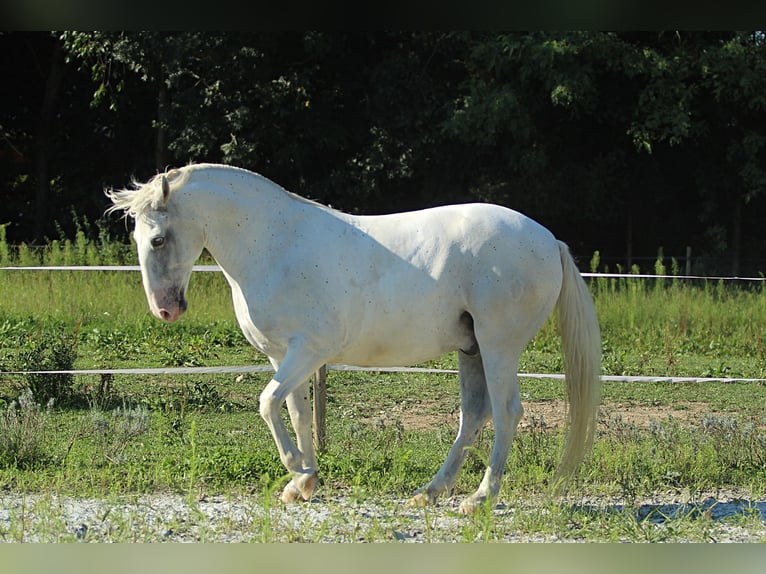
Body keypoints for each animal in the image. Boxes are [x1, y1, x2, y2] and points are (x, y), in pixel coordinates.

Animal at [106, 163, 600, 516]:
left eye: (157, 239)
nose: (166, 309)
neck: (275, 246)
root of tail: (548, 239)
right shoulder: (285, 357)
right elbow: (295, 413)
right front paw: (303, 484)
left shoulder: (308, 351)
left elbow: (266, 404)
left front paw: (298, 470)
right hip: (472, 348)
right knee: (474, 416)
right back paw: (429, 493)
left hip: (499, 346)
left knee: (507, 412)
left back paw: (479, 499)